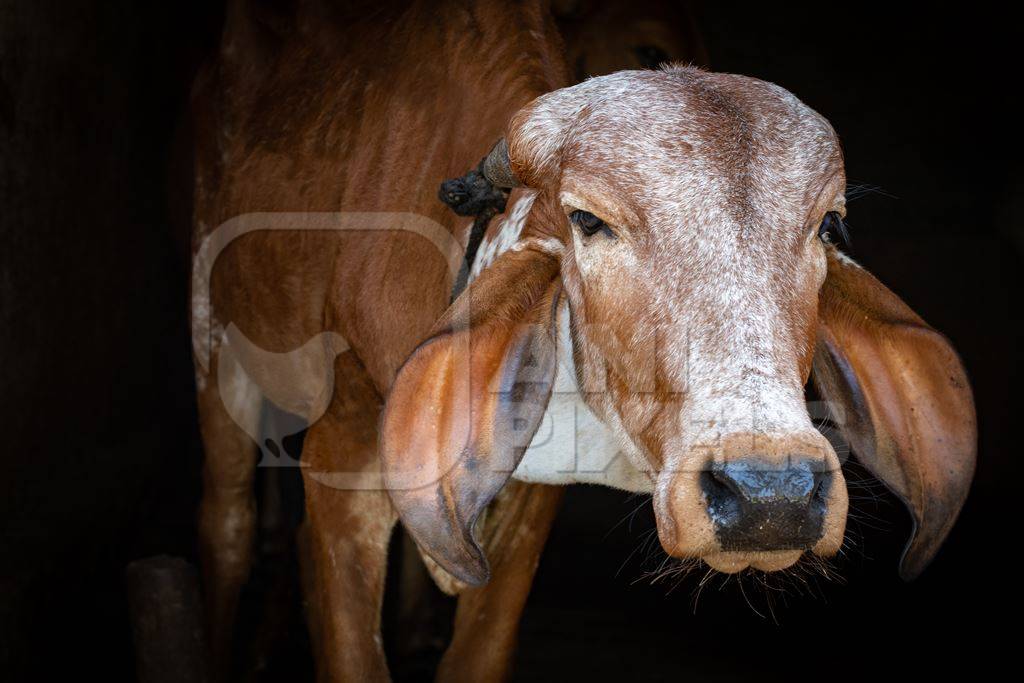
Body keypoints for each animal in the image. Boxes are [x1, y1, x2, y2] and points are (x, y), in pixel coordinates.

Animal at [190, 2, 974, 679]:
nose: (769, 493)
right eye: (588, 220)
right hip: (212, 336)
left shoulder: (527, 503)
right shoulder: (340, 463)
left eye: (828, 225)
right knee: (227, 525)